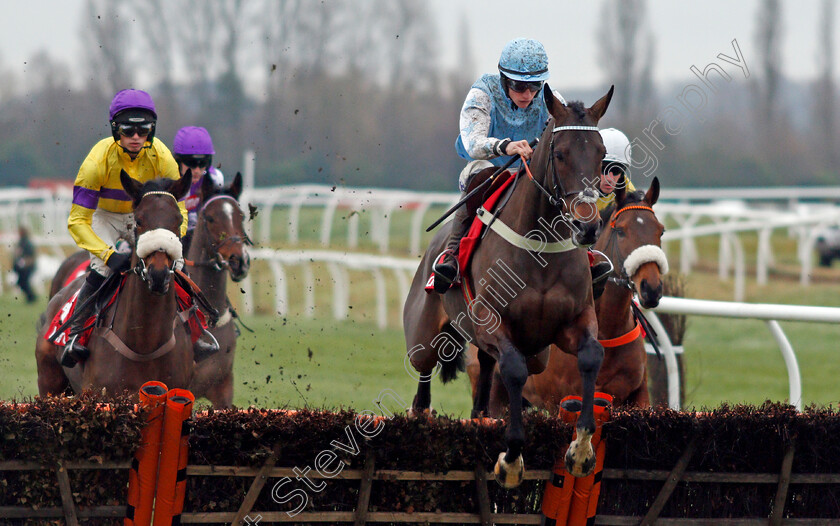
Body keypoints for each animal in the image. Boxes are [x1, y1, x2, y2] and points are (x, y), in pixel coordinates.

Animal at [404, 87, 612, 490]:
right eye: (560, 154)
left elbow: (591, 356)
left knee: (484, 382)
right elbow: (513, 370)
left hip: (528, 354)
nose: (587, 227)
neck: (539, 247)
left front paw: (581, 449)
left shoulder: (574, 321)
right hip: (424, 337)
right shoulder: (491, 320)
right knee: (423, 383)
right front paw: (511, 458)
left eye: (601, 152)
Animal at [470, 177, 668, 416]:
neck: (607, 328)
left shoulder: (638, 396)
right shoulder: (563, 399)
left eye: (661, 231)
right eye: (621, 231)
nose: (651, 288)